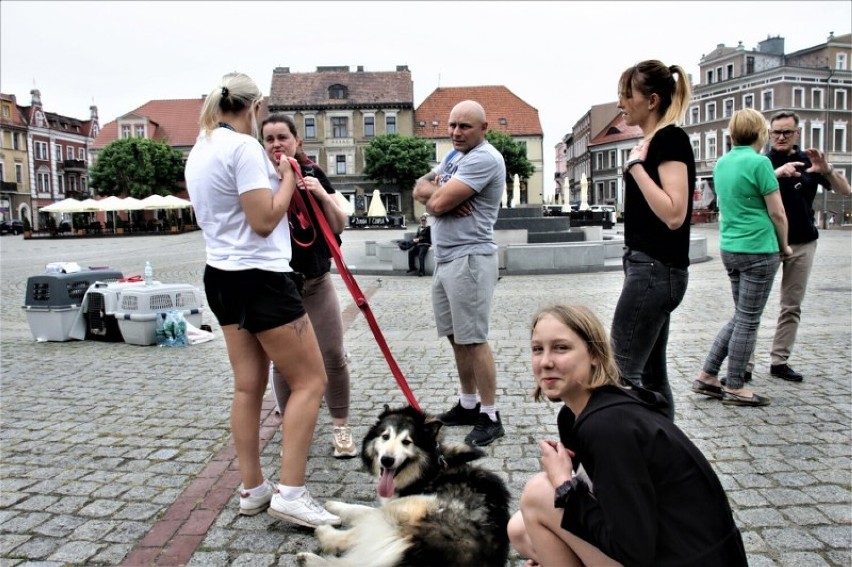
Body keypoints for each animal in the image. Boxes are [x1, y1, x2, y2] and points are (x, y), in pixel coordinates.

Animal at [298, 404, 510, 567]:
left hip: (413, 509)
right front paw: (334, 505)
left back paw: (321, 538)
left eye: (407, 441)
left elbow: (364, 513)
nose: (387, 460)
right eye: (385, 436)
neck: (429, 470)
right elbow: (362, 509)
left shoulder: (401, 505)